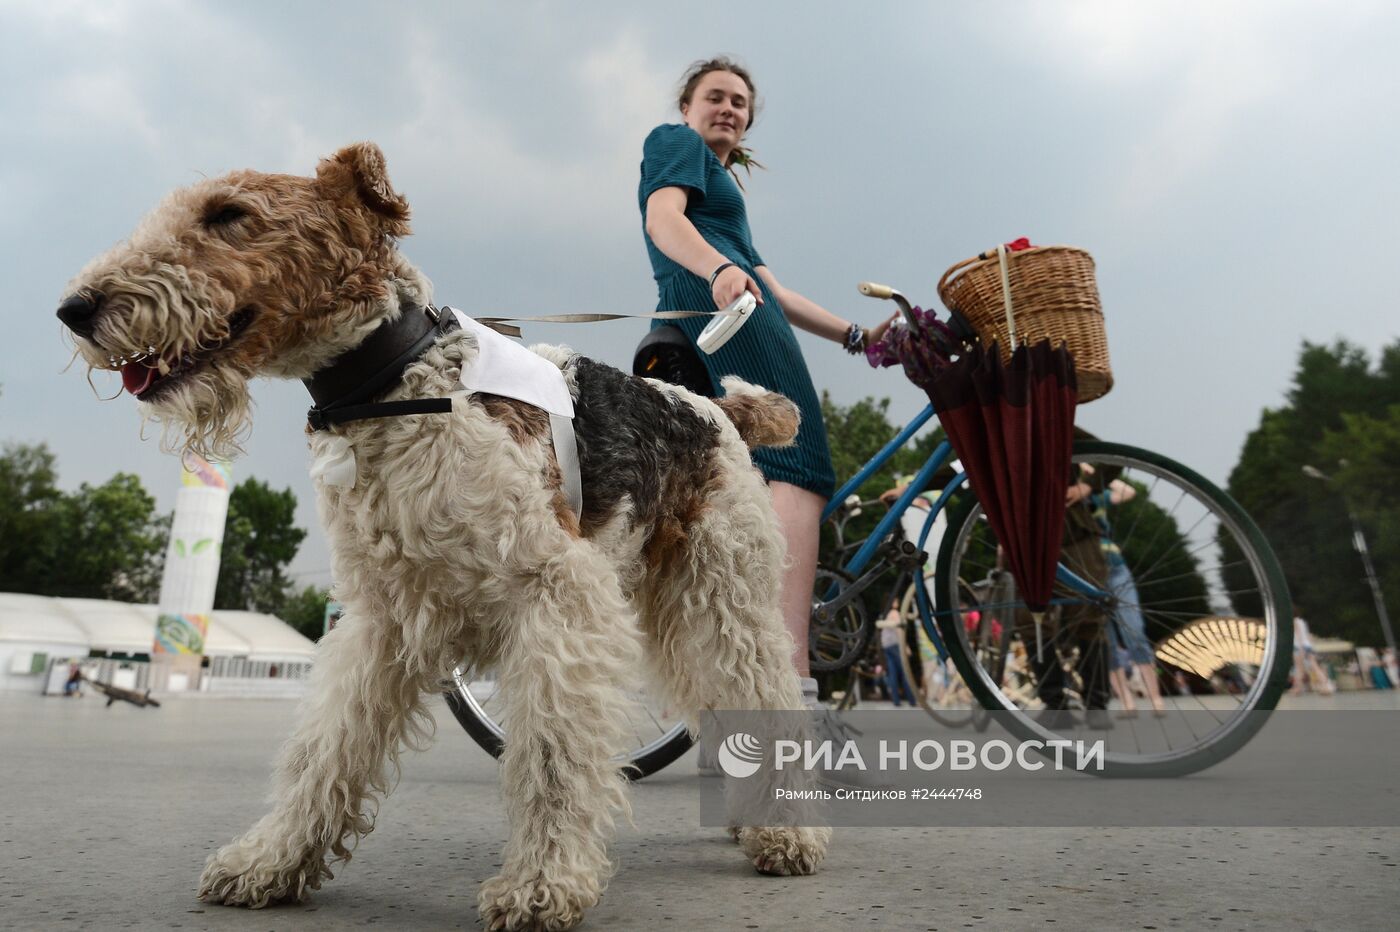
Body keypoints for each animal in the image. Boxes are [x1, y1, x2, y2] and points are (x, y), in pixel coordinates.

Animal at [60, 141, 828, 923]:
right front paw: (269, 862)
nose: (75, 309)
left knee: (768, 694)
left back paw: (787, 835)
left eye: (228, 214)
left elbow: (552, 754)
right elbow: (325, 747)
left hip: (723, 598)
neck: (397, 385)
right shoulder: (383, 617)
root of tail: (717, 409)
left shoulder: (556, 593)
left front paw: (542, 885)